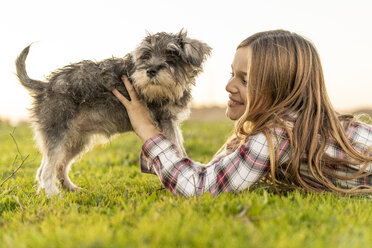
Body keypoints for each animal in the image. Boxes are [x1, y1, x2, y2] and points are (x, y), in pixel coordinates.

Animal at [16, 30, 212, 196]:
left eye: (171, 54)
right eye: (145, 55)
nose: (150, 70)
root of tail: (45, 86)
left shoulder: (169, 121)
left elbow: (179, 148)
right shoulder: (165, 121)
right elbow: (176, 148)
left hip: (75, 141)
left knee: (59, 166)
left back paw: (71, 189)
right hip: (57, 135)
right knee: (46, 170)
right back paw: (53, 195)